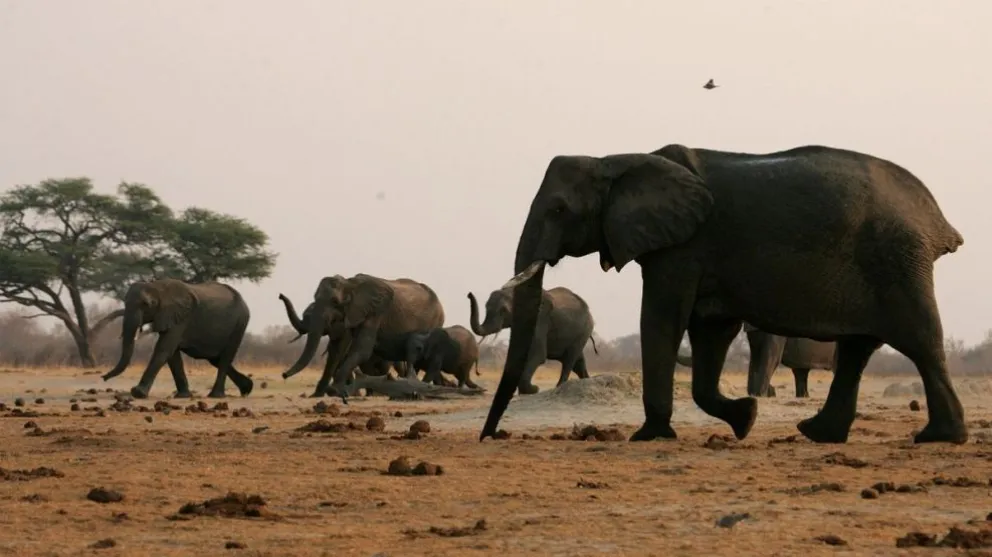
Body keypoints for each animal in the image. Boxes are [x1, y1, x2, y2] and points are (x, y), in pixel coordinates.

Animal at [101, 278, 254, 399]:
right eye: (125, 302)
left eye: (147, 304)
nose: (103, 377)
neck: (158, 287)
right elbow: (172, 355)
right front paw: (182, 396)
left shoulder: (181, 317)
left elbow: (164, 349)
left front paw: (138, 393)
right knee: (215, 359)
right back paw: (247, 389)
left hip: (240, 323)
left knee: (225, 357)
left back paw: (216, 396)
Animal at [468, 285, 597, 394]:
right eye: (486, 307)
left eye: (503, 311)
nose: (469, 294)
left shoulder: (540, 318)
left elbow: (538, 354)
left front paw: (533, 389)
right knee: (578, 362)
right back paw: (586, 380)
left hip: (584, 330)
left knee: (570, 359)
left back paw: (559, 387)